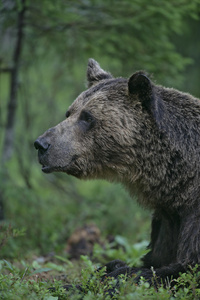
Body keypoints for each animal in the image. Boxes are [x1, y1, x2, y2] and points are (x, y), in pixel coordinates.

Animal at [34, 58, 200, 286]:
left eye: (87, 117)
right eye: (69, 113)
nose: (41, 144)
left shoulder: (193, 214)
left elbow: (181, 269)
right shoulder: (168, 220)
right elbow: (154, 259)